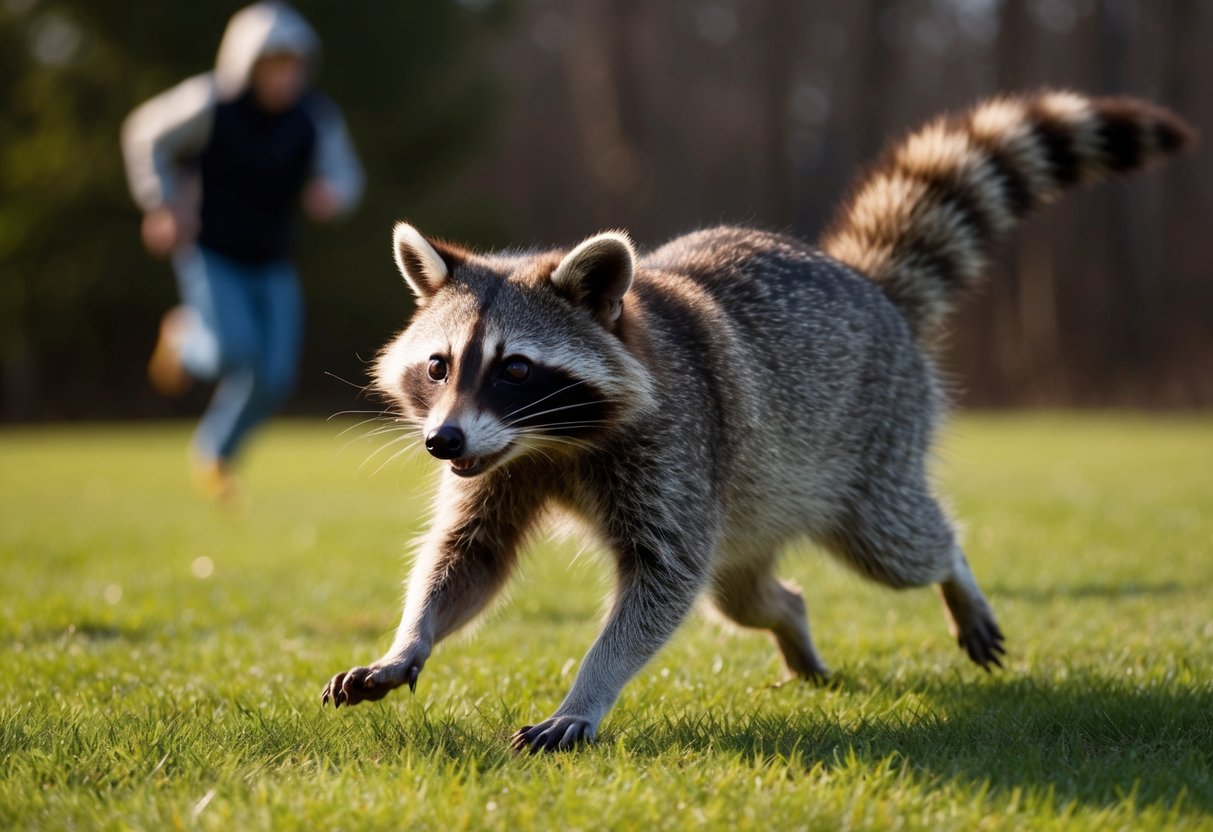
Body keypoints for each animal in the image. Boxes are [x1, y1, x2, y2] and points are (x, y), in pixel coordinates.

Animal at [322, 92, 1195, 752]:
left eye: (514, 369)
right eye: (438, 367)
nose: (441, 442)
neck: (549, 439)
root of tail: (862, 282)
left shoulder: (672, 446)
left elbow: (658, 586)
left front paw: (586, 693)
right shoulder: (503, 464)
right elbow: (467, 557)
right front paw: (408, 641)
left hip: (870, 444)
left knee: (896, 543)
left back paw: (953, 572)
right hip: (751, 510)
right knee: (742, 596)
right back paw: (793, 624)